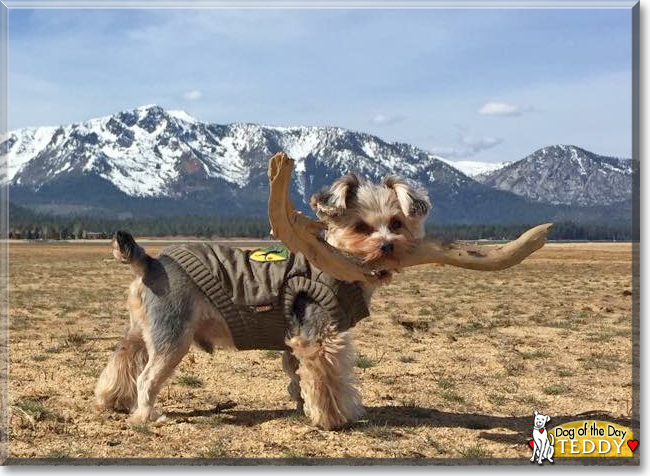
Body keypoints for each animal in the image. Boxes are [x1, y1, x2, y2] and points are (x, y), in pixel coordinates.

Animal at [93, 173, 428, 430]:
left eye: (397, 224)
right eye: (361, 227)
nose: (388, 246)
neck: (337, 263)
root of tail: (150, 262)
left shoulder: (293, 341)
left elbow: (298, 378)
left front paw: (302, 406)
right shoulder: (318, 339)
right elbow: (328, 381)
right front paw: (333, 419)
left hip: (140, 331)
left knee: (122, 359)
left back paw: (113, 400)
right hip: (173, 336)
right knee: (146, 378)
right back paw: (147, 416)